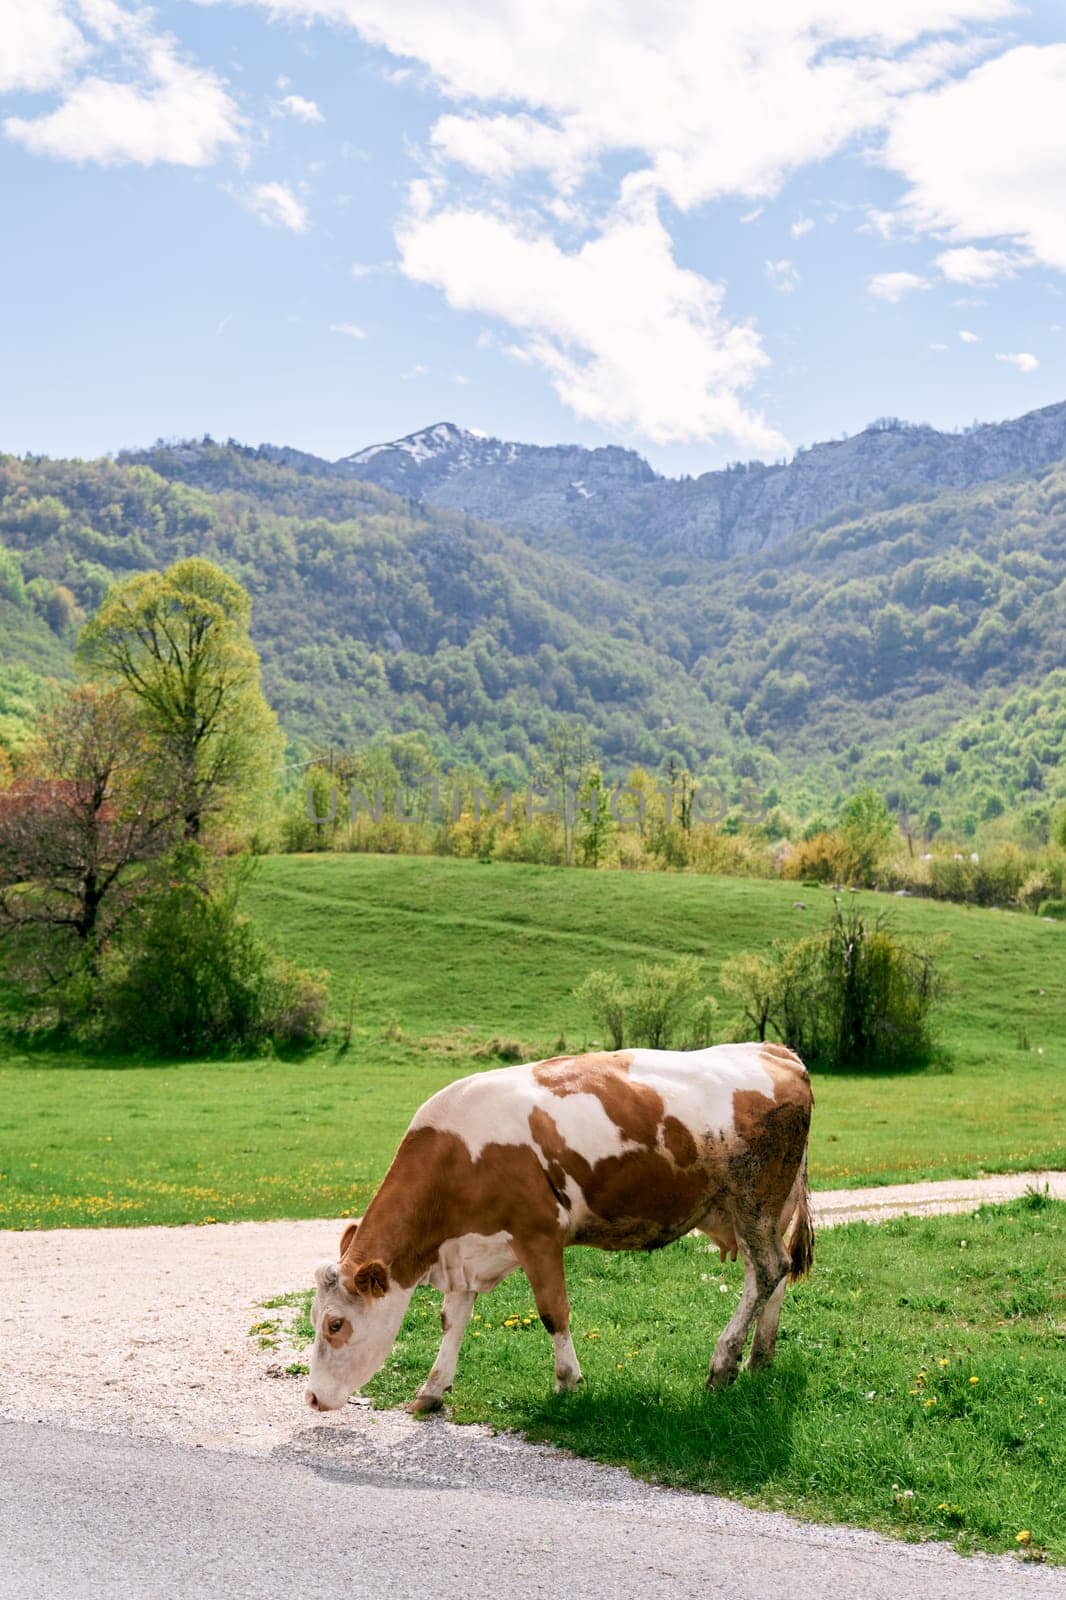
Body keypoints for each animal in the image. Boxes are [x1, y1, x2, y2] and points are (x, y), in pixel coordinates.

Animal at [302, 1049, 809, 1414]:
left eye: (335, 1324)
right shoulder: (465, 1251)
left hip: (753, 1200)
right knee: (774, 1272)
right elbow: (453, 1319)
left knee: (768, 1269)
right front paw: (432, 1389)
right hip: (764, 1209)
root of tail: (773, 1050)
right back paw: (760, 1359)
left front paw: (567, 1383)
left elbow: (553, 1313)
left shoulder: (538, 1236)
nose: (311, 1397)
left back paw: (724, 1364)